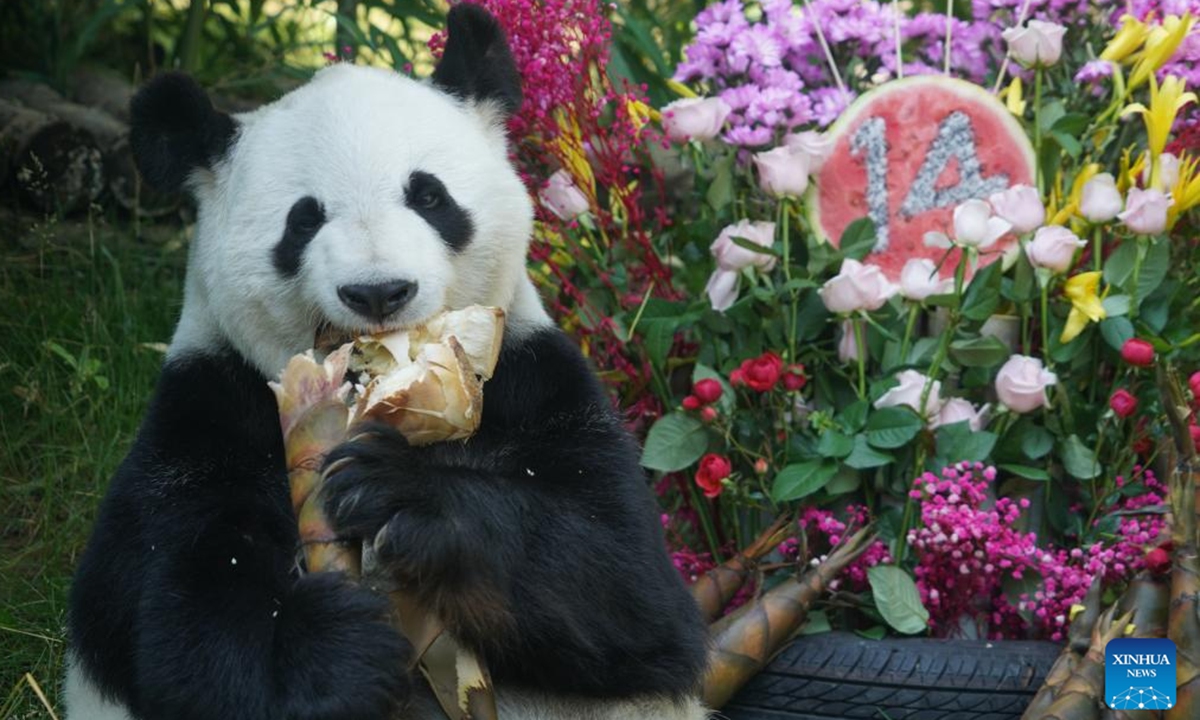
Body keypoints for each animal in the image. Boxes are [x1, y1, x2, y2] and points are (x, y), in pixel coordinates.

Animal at [64, 6, 709, 720]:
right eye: (303, 220)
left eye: (429, 197)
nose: (378, 291)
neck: (376, 391)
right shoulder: (208, 412)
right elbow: (184, 622)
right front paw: (334, 649)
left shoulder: (536, 383)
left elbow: (627, 585)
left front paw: (399, 492)